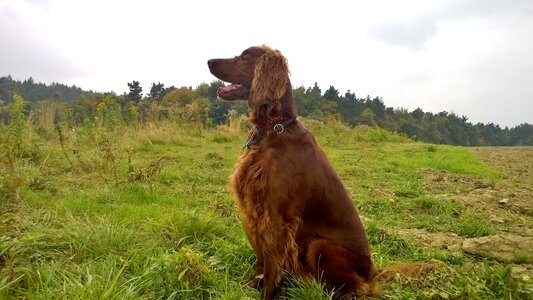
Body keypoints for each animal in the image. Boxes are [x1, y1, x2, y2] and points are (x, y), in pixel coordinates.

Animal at [206, 45, 376, 298]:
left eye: (245, 56)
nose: (209, 61)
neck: (273, 129)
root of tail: (373, 272)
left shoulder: (276, 215)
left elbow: (271, 263)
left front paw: (267, 293)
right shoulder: (255, 212)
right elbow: (261, 260)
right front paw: (251, 285)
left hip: (320, 245)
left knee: (353, 288)